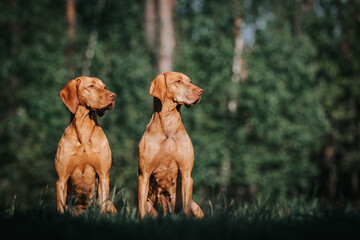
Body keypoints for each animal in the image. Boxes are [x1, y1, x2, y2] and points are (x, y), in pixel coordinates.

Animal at [55, 76, 116, 215]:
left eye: (104, 87)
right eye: (91, 86)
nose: (113, 96)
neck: (84, 130)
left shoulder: (103, 175)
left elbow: (102, 204)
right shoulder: (62, 178)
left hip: (111, 205)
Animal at [138, 71, 204, 219]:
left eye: (189, 81)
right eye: (178, 81)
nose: (201, 91)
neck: (168, 125)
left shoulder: (186, 174)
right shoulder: (144, 175)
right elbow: (141, 210)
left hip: (195, 206)